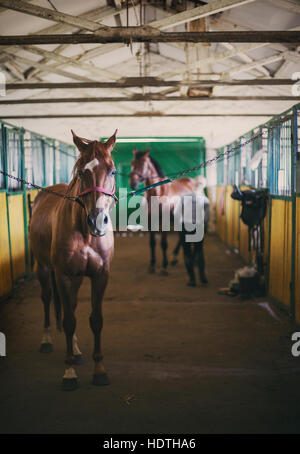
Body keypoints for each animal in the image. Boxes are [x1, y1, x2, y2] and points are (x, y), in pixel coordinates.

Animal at [30, 129, 117, 390]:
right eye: (80, 172)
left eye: (112, 171)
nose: (97, 222)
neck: (85, 234)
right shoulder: (63, 276)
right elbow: (68, 321)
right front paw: (69, 373)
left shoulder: (100, 276)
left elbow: (95, 320)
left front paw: (99, 371)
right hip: (43, 269)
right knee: (47, 298)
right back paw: (47, 340)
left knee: (74, 305)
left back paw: (77, 352)